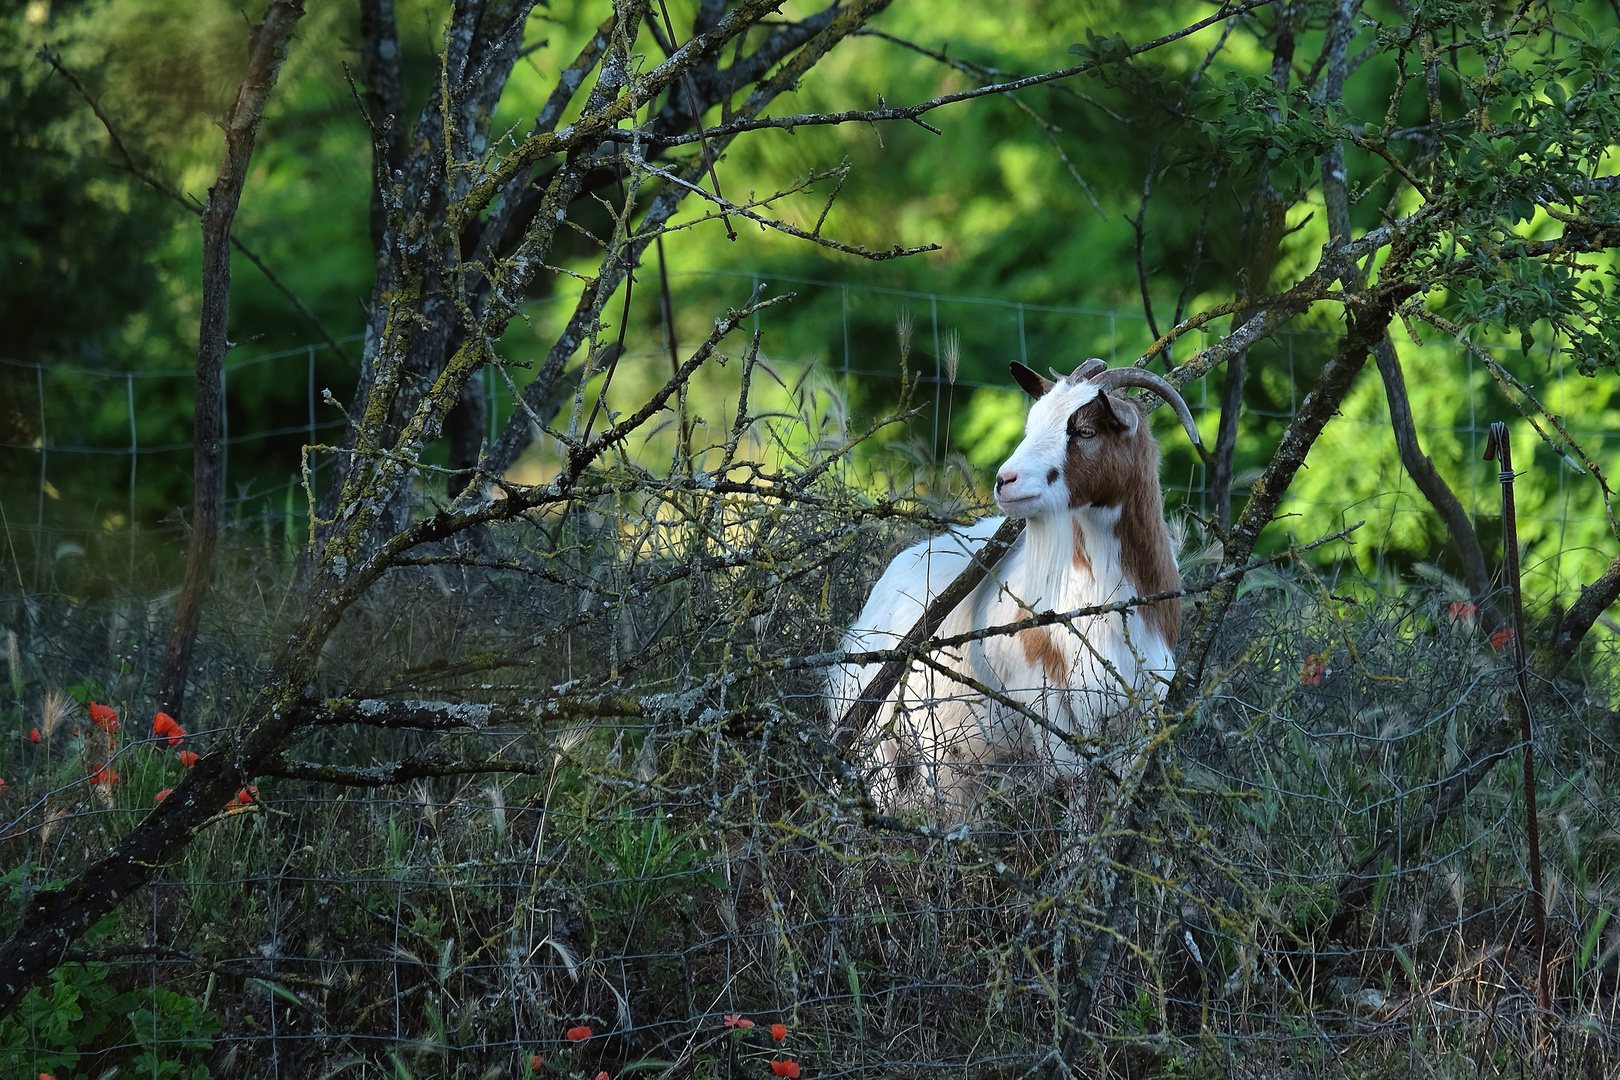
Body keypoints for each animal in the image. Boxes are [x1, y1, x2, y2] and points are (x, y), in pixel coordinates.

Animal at [835, 359, 1205, 816]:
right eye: (1033, 424)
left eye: (1085, 431)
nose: (1004, 480)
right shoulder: (1050, 711)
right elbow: (1076, 792)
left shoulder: (1142, 711)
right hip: (885, 742)